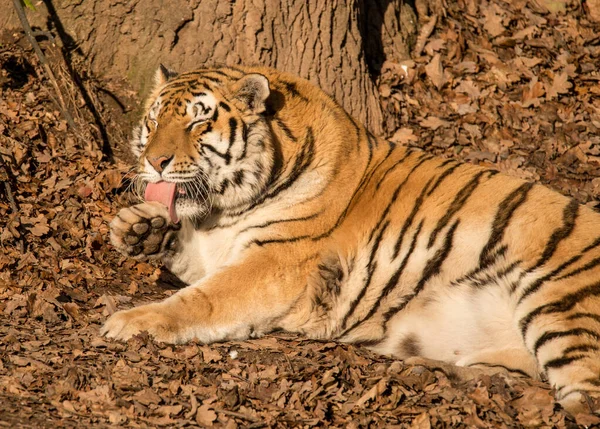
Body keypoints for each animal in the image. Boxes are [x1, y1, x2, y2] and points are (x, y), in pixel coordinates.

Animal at [102, 64, 600, 414]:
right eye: (152, 123)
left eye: (197, 124)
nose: (155, 163)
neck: (224, 210)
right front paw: (137, 226)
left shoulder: (274, 263)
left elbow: (203, 299)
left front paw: (129, 322)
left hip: (561, 303)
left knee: (585, 398)